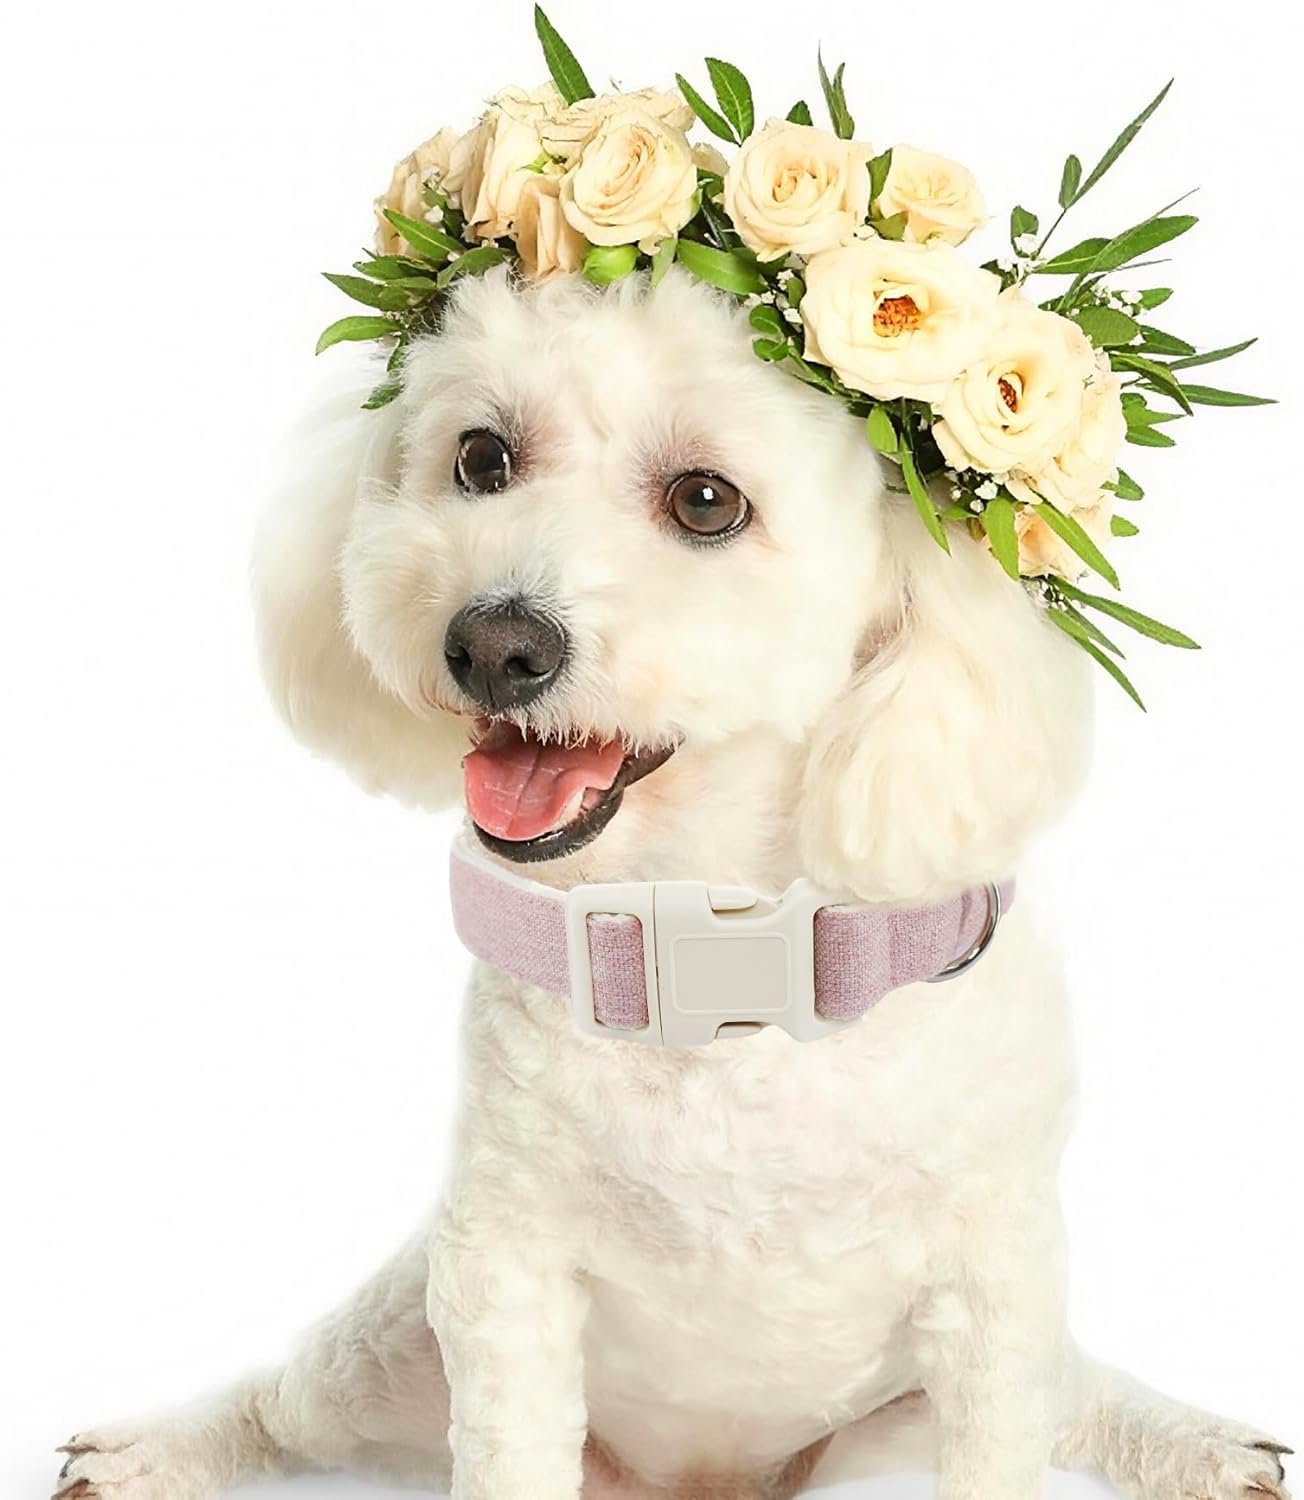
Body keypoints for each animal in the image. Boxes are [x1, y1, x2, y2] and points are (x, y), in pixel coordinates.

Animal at [55, 269, 1291, 1500]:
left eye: (705, 501)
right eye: (482, 459)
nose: (493, 644)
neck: (721, 958)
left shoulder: (993, 1284)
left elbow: (1000, 1444)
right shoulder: (501, 1271)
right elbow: (502, 1449)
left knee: (1075, 1393)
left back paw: (1197, 1445)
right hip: (402, 1339)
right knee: (283, 1403)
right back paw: (153, 1451)